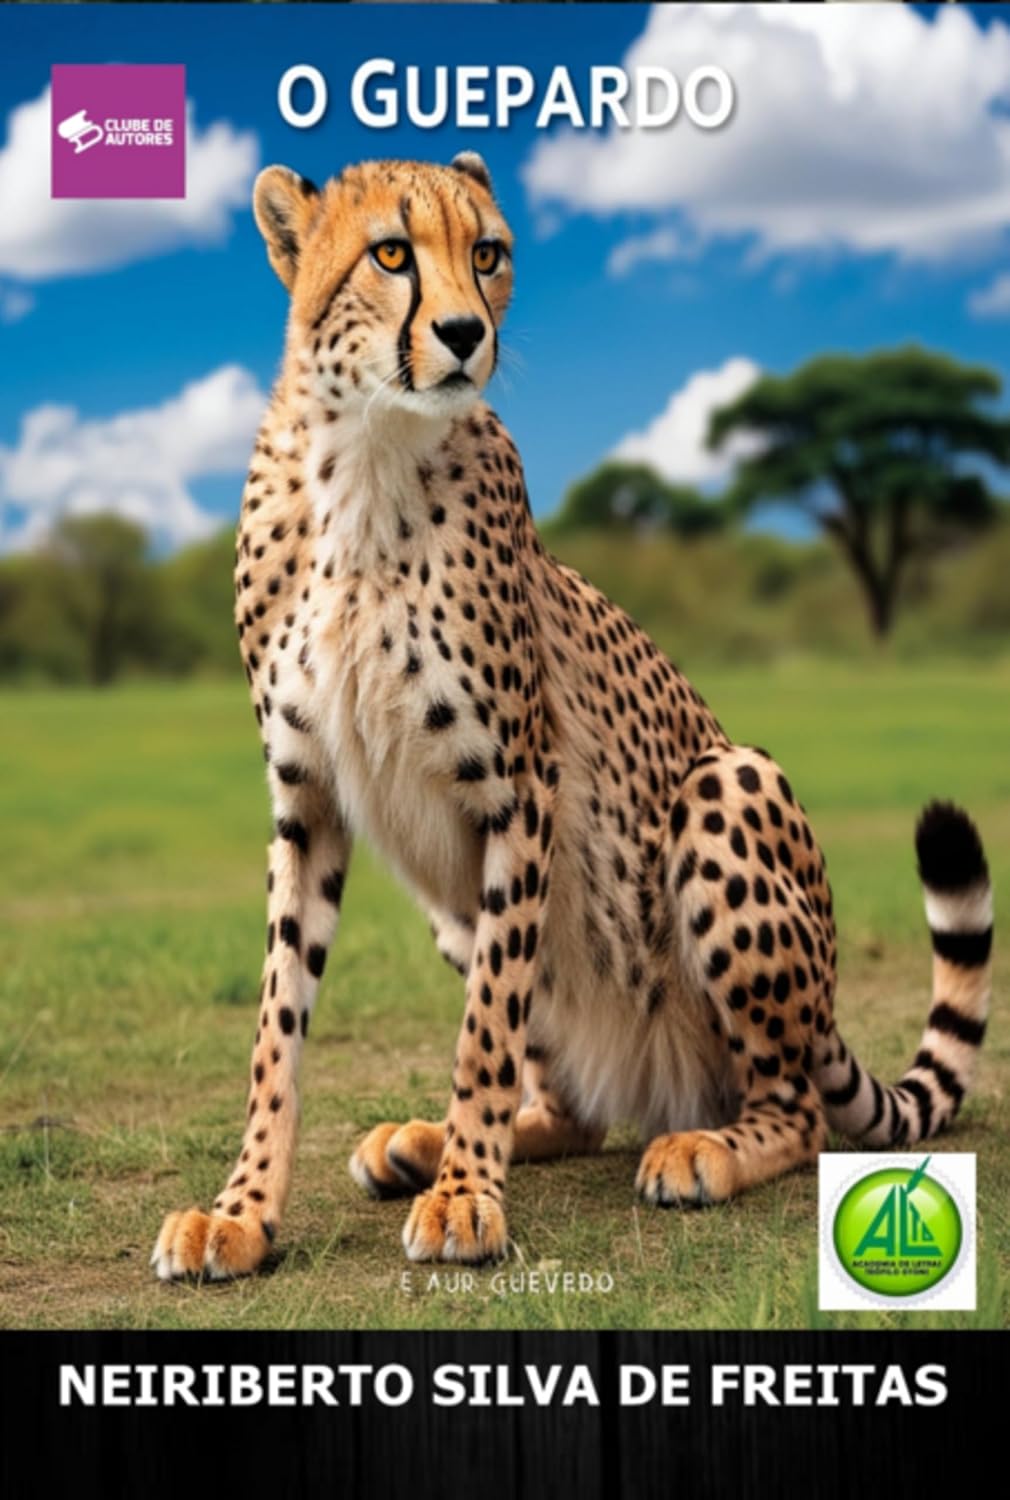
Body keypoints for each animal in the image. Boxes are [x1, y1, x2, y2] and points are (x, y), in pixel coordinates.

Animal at [152, 152, 994, 1279]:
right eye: (390, 253)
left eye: (487, 253)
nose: (466, 333)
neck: (366, 454)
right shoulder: (308, 799)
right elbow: (278, 1023)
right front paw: (242, 1210)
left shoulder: (518, 788)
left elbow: (487, 1025)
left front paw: (468, 1197)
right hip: (448, 902)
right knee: (578, 1107)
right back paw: (425, 1142)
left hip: (726, 785)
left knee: (795, 1106)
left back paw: (700, 1149)